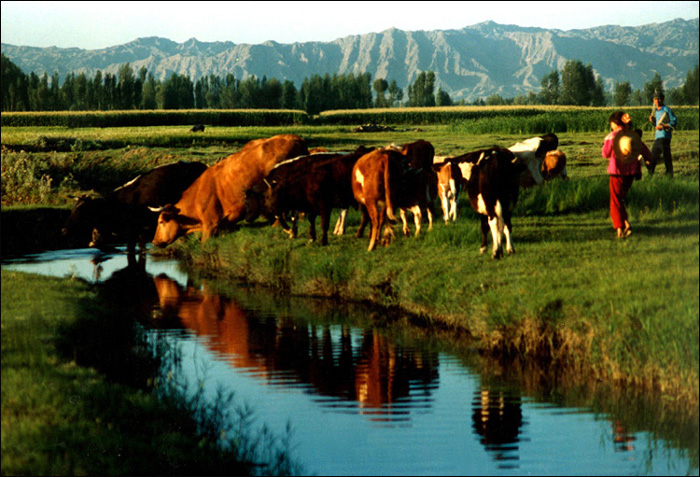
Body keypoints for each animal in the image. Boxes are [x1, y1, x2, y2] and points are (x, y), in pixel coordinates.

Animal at [152, 133, 308, 245]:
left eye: (161, 222)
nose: (154, 241)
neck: (196, 197)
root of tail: (295, 138)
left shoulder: (210, 224)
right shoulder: (225, 225)